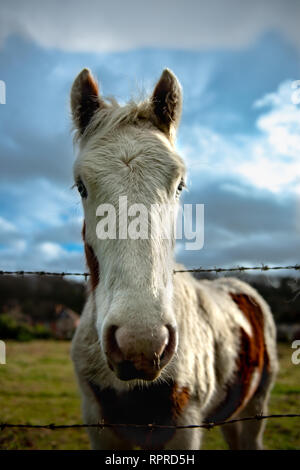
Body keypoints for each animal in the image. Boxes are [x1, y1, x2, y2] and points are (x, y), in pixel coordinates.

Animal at [69, 68, 278, 450]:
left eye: (179, 185)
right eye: (81, 186)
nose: (141, 343)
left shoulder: (184, 429)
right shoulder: (98, 426)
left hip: (256, 408)